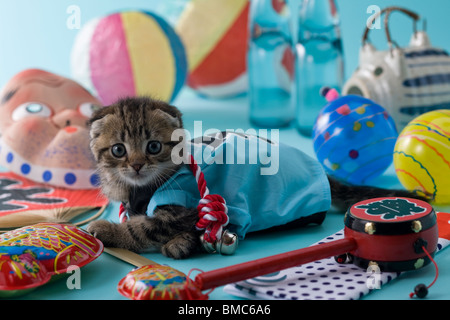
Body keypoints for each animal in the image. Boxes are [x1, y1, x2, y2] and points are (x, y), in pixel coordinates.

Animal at [87, 96, 426, 258]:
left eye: (154, 147)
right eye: (118, 150)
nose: (136, 165)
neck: (140, 189)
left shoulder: (183, 201)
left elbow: (143, 228)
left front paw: (108, 230)